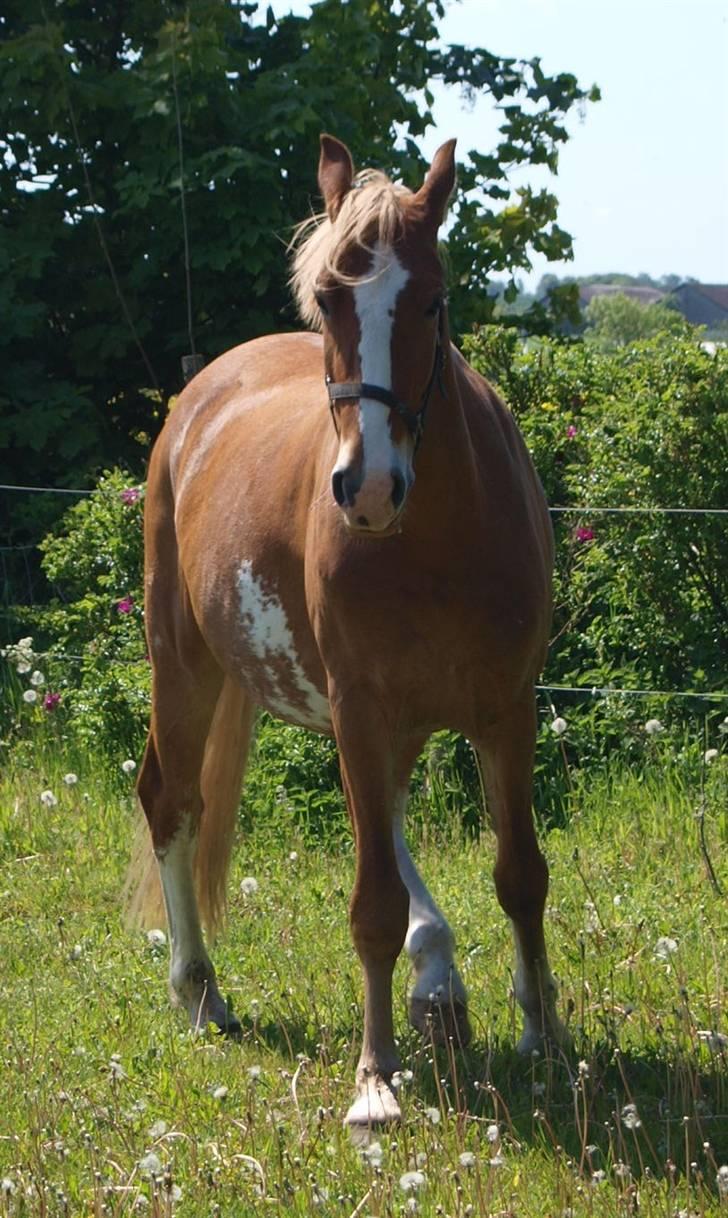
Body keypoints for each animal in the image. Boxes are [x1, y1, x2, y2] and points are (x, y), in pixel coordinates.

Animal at [129, 138, 564, 1125]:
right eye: (327, 297)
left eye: (433, 299)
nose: (366, 488)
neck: (434, 539)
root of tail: (197, 399)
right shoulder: (363, 707)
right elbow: (370, 904)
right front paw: (375, 1078)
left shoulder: (506, 709)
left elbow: (520, 874)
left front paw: (543, 1034)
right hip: (186, 666)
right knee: (170, 799)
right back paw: (201, 992)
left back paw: (436, 975)